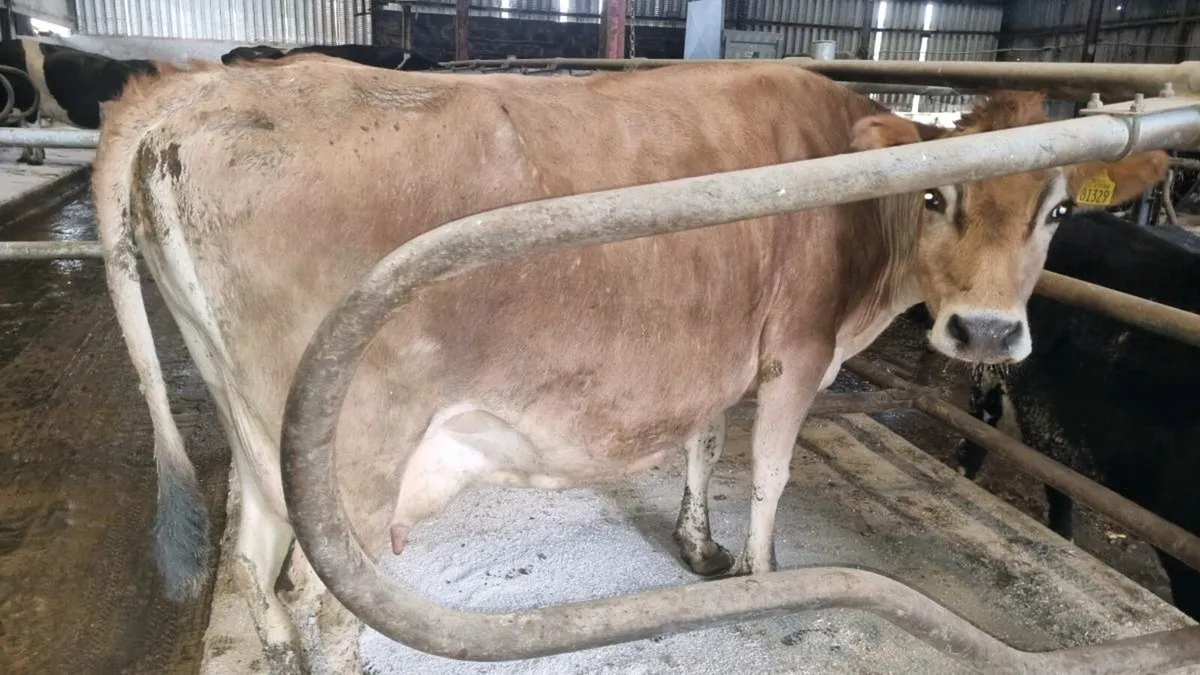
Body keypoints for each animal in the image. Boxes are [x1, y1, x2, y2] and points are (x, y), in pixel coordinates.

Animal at [91, 54, 1166, 673]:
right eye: (939, 195)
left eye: (1057, 210)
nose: (986, 335)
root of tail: (194, 92)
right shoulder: (799, 347)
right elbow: (770, 470)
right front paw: (766, 577)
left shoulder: (720, 341)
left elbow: (704, 444)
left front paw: (700, 547)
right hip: (347, 448)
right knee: (324, 598)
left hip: (253, 417)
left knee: (250, 544)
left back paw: (269, 643)